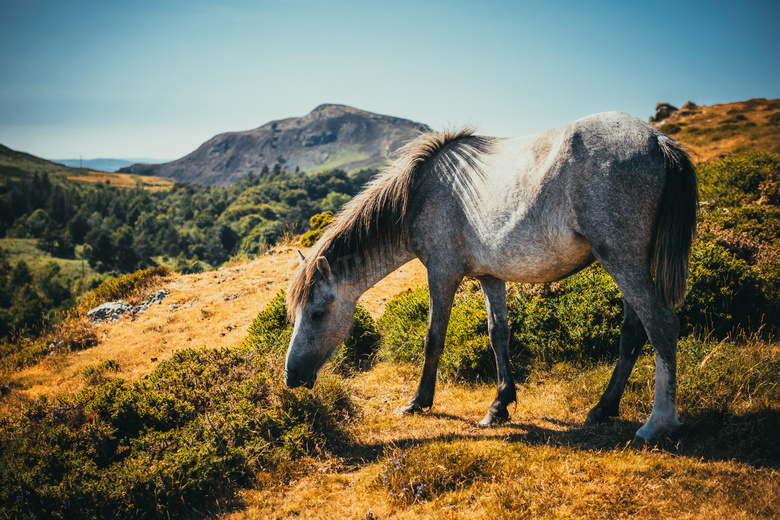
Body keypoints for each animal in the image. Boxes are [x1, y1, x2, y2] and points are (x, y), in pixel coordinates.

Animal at [284, 111, 696, 440]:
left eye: (317, 313)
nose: (290, 377)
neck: (421, 192)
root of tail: (656, 140)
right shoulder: (489, 276)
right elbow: (498, 334)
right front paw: (500, 405)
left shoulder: (442, 274)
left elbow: (433, 338)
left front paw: (419, 401)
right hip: (628, 264)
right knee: (633, 332)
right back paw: (603, 408)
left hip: (623, 261)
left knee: (661, 325)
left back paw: (658, 423)